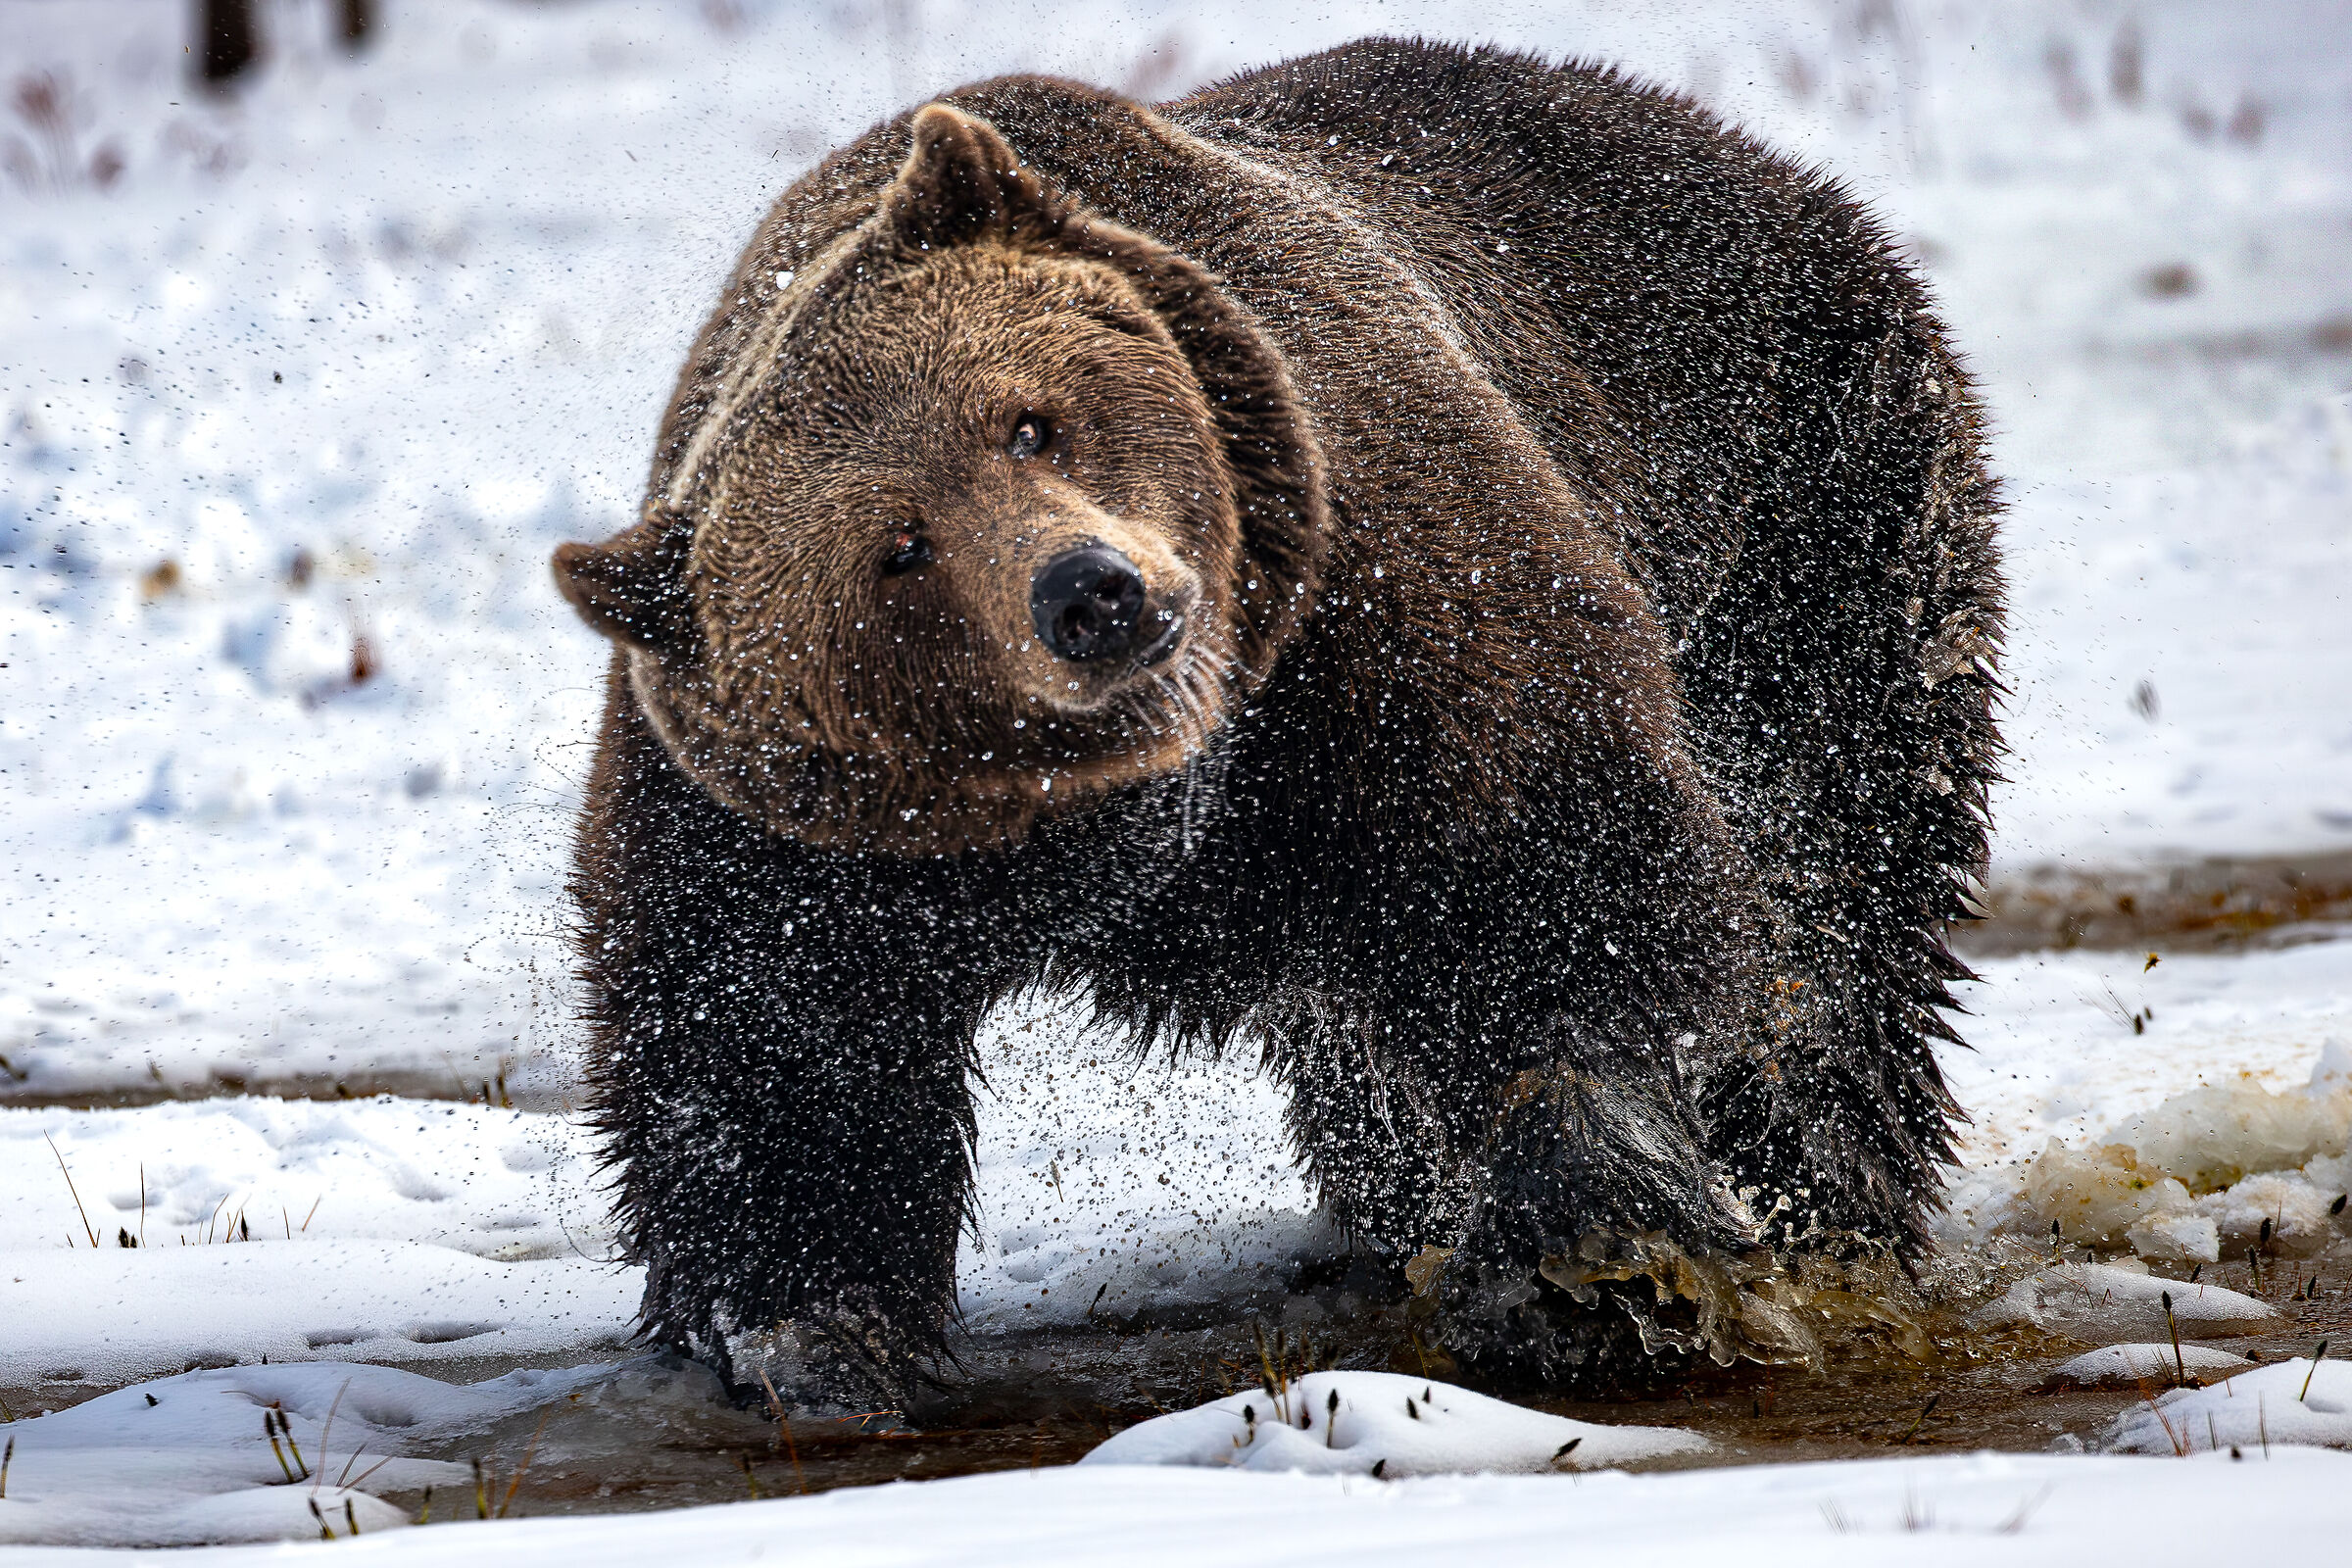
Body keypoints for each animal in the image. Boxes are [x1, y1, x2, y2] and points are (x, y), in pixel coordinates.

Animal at [551, 37, 2003, 1397]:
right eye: (896, 549)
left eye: (1030, 423)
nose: (1092, 593)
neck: (1150, 809)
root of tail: (1744, 151)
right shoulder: (780, 835)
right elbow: (762, 1050)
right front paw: (809, 1328)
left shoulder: (1377, 578)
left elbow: (1547, 875)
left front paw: (1599, 1255)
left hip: (1803, 510)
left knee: (1834, 886)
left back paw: (1830, 1204)